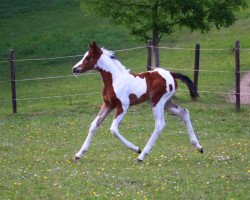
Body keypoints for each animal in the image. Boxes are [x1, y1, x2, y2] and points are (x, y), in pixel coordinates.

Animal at [72, 41, 203, 162]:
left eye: (88, 57)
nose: (74, 69)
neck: (115, 80)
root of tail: (171, 74)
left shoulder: (122, 106)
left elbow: (113, 129)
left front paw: (136, 149)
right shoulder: (108, 105)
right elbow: (94, 124)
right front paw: (78, 154)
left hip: (158, 102)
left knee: (160, 124)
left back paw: (142, 155)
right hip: (167, 103)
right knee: (184, 112)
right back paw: (199, 147)